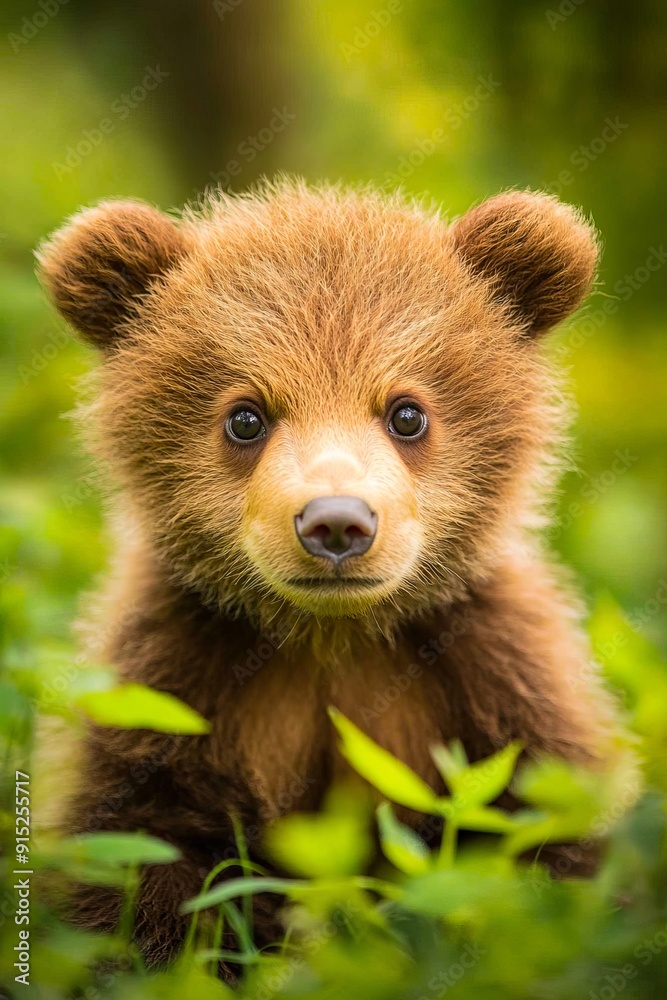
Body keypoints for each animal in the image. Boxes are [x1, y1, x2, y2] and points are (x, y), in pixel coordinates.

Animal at [37, 180, 619, 970]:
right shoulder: (169, 687)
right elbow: (137, 867)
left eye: (406, 412)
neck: (331, 638)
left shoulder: (496, 679)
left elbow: (545, 840)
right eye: (246, 417)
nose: (337, 523)